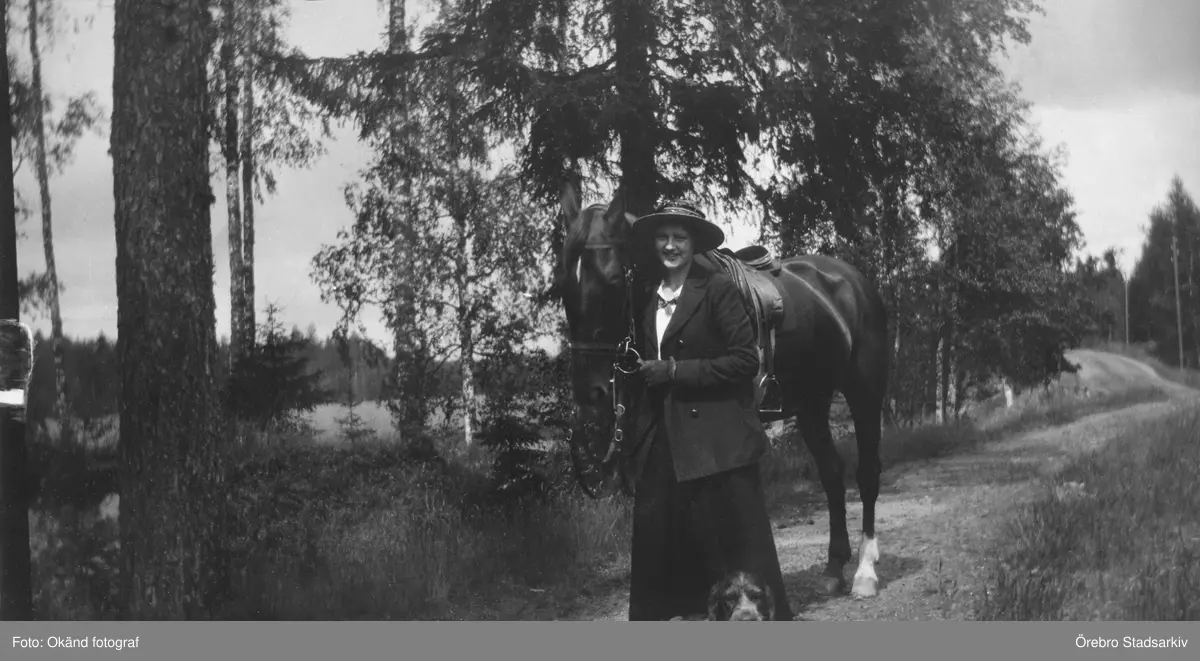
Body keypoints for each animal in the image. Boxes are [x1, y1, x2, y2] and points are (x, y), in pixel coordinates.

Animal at [555, 181, 890, 599]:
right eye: (562, 285)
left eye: (614, 279)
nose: (590, 394)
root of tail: (853, 281)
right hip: (812, 403)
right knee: (831, 472)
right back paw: (833, 567)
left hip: (864, 393)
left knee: (867, 473)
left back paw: (865, 571)